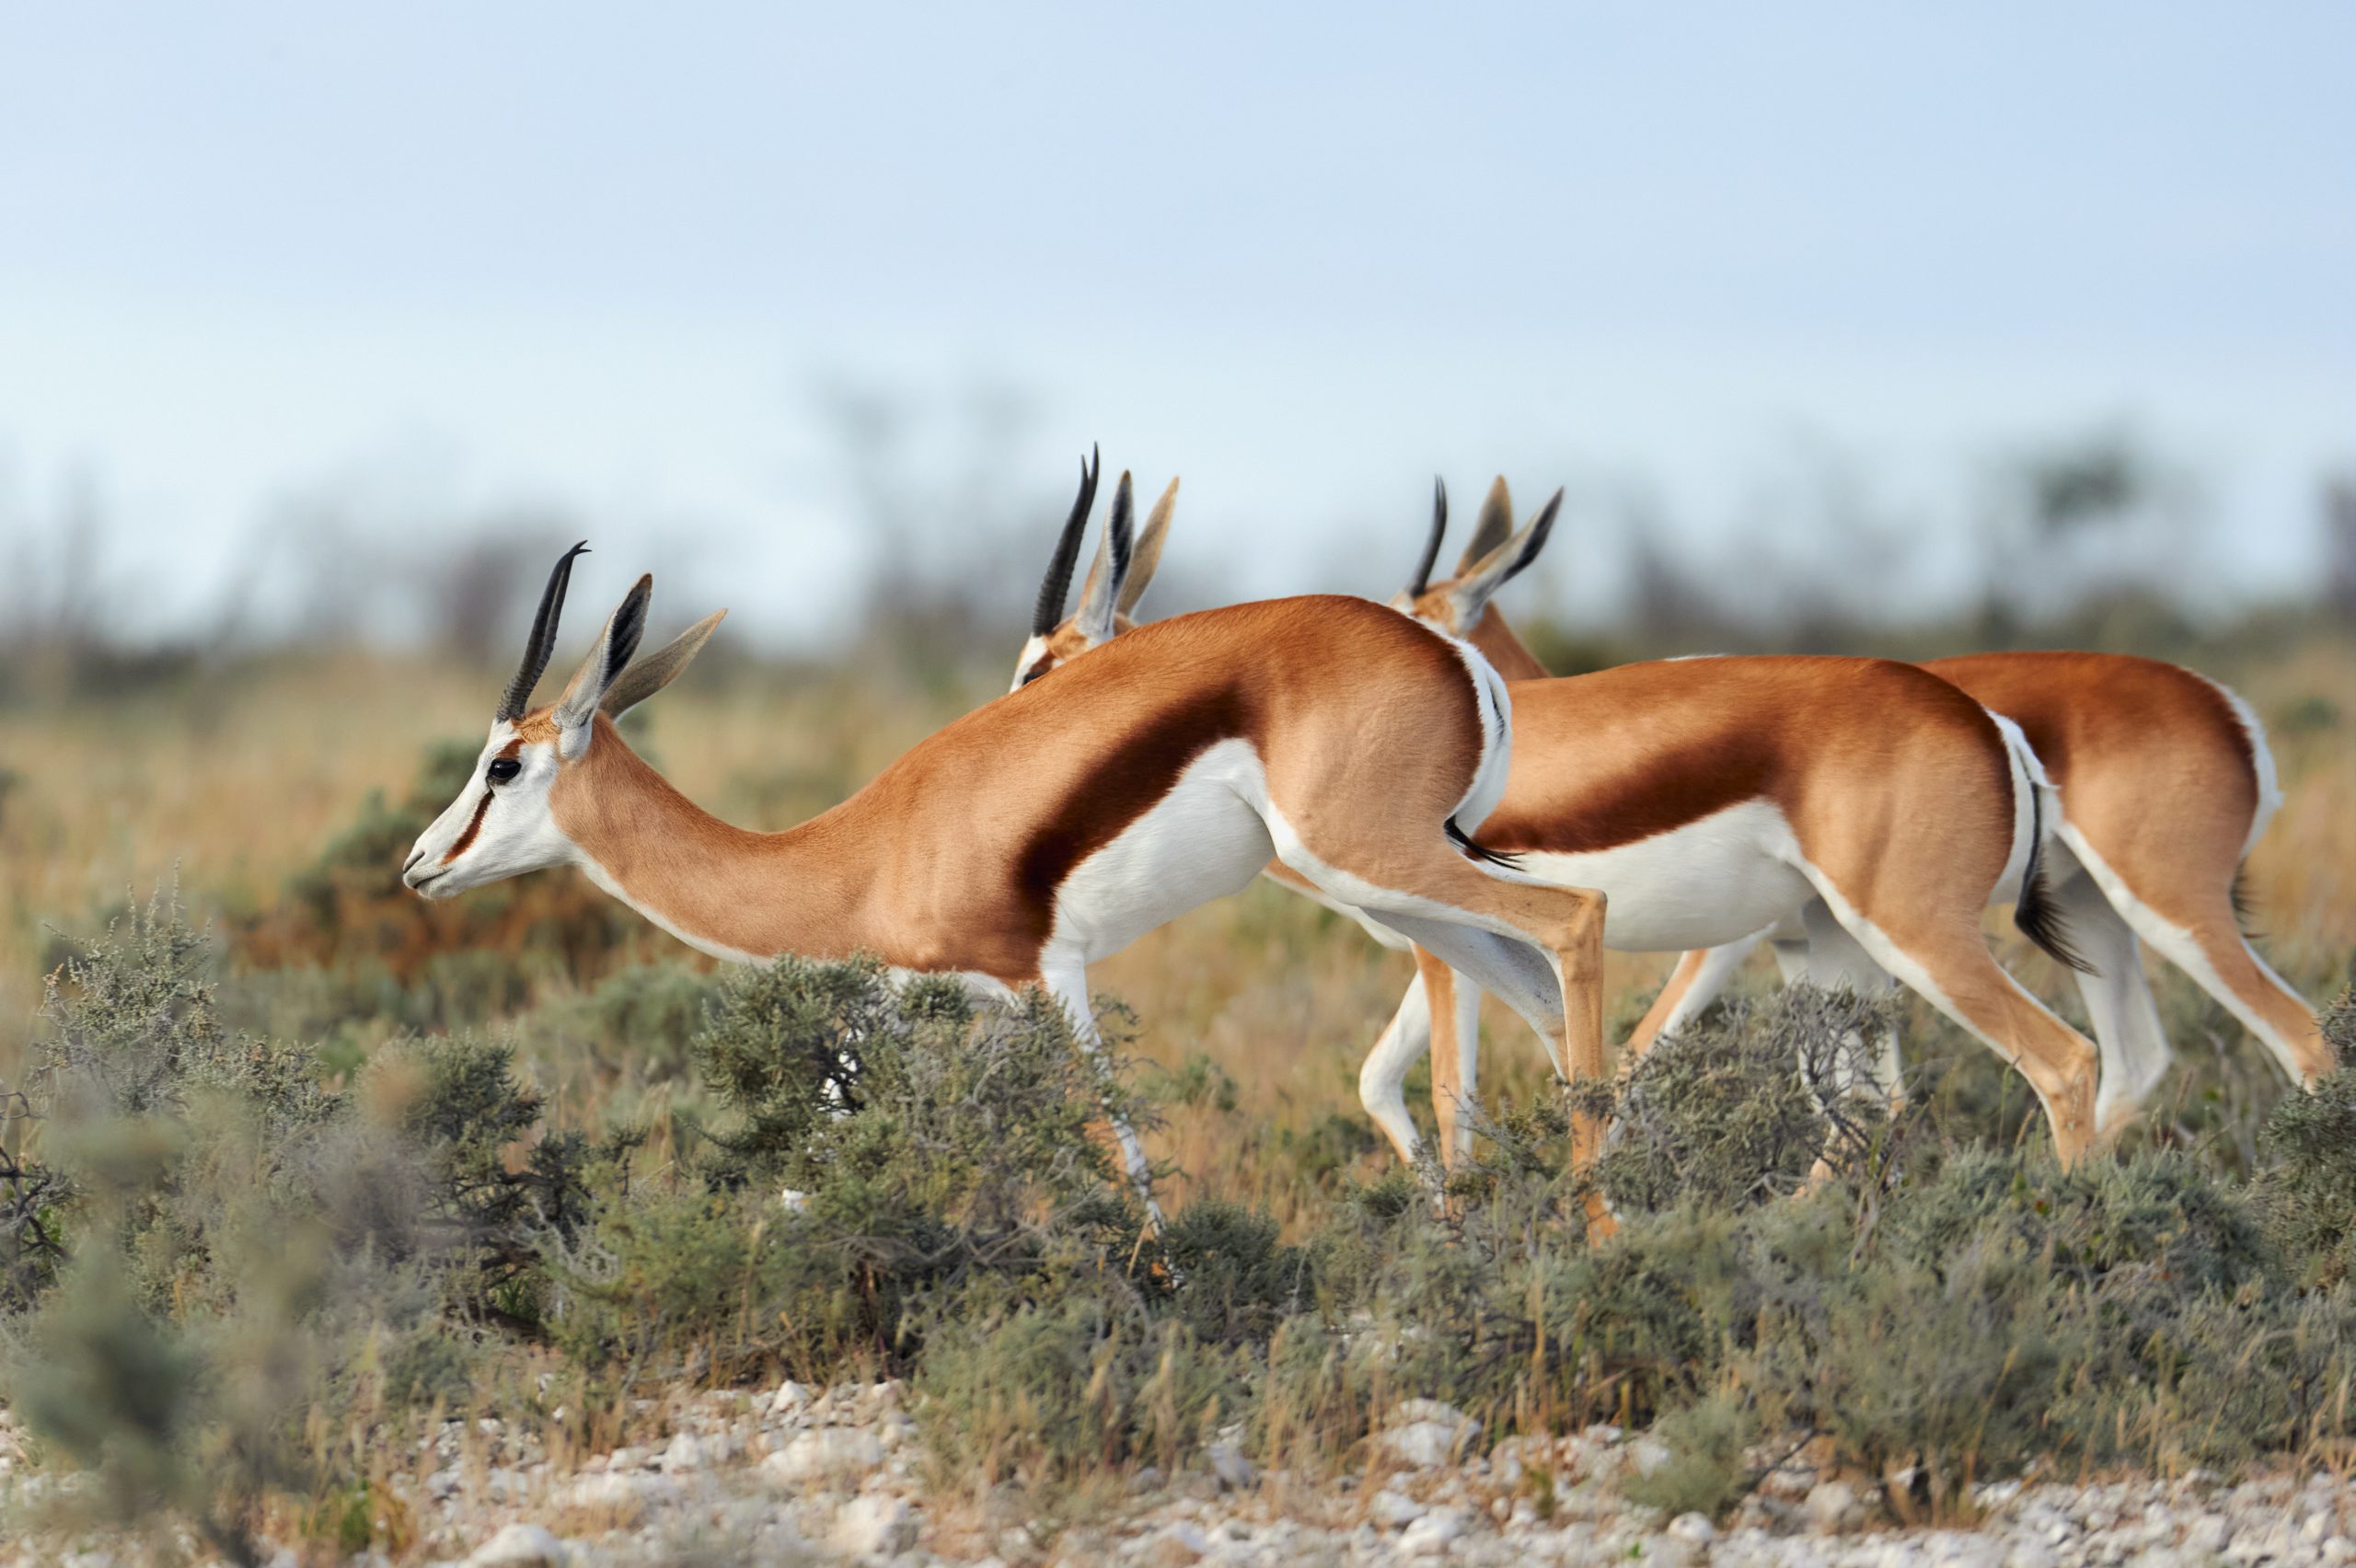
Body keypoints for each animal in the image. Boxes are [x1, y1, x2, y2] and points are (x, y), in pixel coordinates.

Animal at [400, 459, 1618, 1214]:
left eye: (503, 764)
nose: (419, 864)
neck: (856, 859)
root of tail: (1452, 655)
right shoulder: (926, 1022)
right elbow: (821, 1171)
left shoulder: (1045, 979)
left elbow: (1123, 1154)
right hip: (1399, 893)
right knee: (1536, 993)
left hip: (1375, 866)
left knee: (1577, 919)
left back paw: (1602, 1235)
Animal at [1015, 475, 2109, 1170]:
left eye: (1038, 668)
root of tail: (1991, 728)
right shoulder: (1453, 948)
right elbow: (1387, 1082)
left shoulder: (1450, 945)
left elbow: (1458, 1091)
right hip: (1834, 947)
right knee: (1878, 1105)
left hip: (1896, 934)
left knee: (2065, 1062)